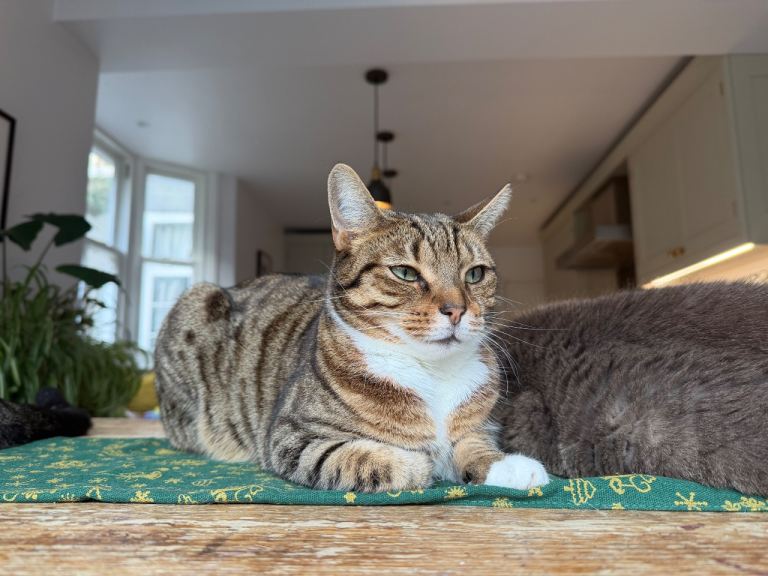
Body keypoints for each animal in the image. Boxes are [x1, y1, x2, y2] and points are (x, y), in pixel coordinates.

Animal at [155, 163, 549, 492]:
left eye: (475, 274)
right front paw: (422, 463)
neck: (431, 372)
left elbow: (475, 442)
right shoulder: (291, 436)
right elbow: (362, 458)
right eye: (405, 272)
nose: (457, 310)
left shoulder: (479, 426)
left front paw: (508, 465)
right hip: (196, 301)